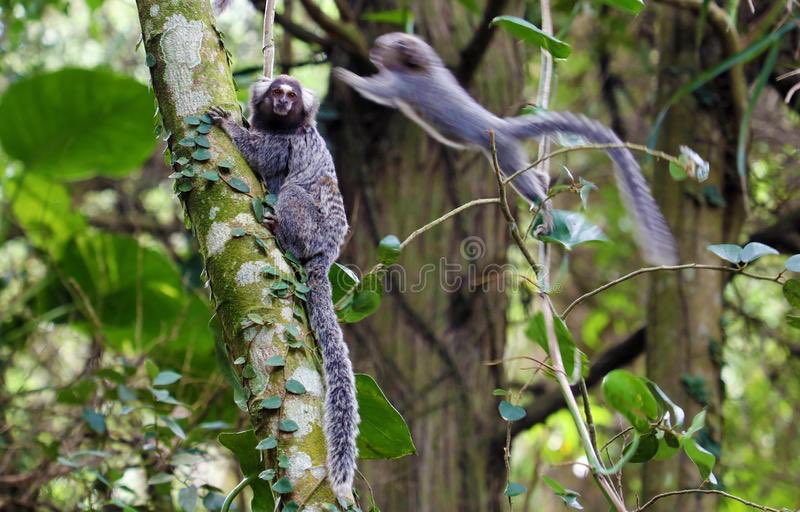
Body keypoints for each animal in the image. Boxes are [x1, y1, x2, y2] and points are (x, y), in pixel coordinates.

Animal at [207, 75, 359, 501]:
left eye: (291, 96)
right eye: (277, 92)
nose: (282, 102)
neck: (280, 125)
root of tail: (327, 251)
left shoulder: (287, 143)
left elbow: (262, 157)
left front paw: (229, 126)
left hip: (311, 228)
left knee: (292, 193)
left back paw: (282, 234)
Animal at [333, 32, 679, 266]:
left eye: (384, 46)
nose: (374, 51)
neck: (418, 69)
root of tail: (500, 125)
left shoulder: (399, 85)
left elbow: (375, 90)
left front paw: (342, 74)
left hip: (508, 159)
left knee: (533, 190)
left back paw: (546, 212)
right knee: (537, 181)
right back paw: (544, 186)